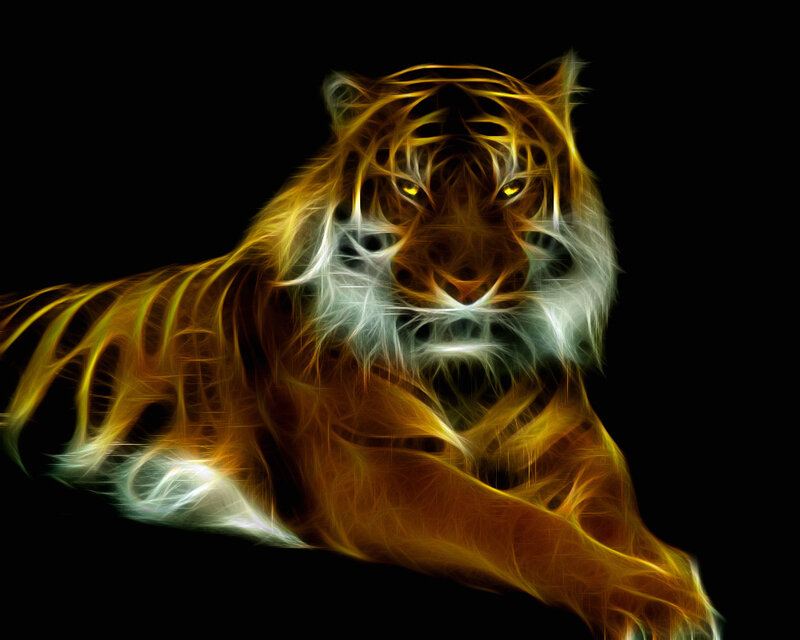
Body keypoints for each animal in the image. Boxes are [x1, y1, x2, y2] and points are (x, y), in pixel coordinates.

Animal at [0, 55, 719, 638]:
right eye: (410, 188)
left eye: (512, 187)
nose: (468, 286)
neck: (464, 377)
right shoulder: (374, 469)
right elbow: (518, 524)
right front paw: (654, 600)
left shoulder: (581, 446)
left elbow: (613, 513)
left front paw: (670, 569)